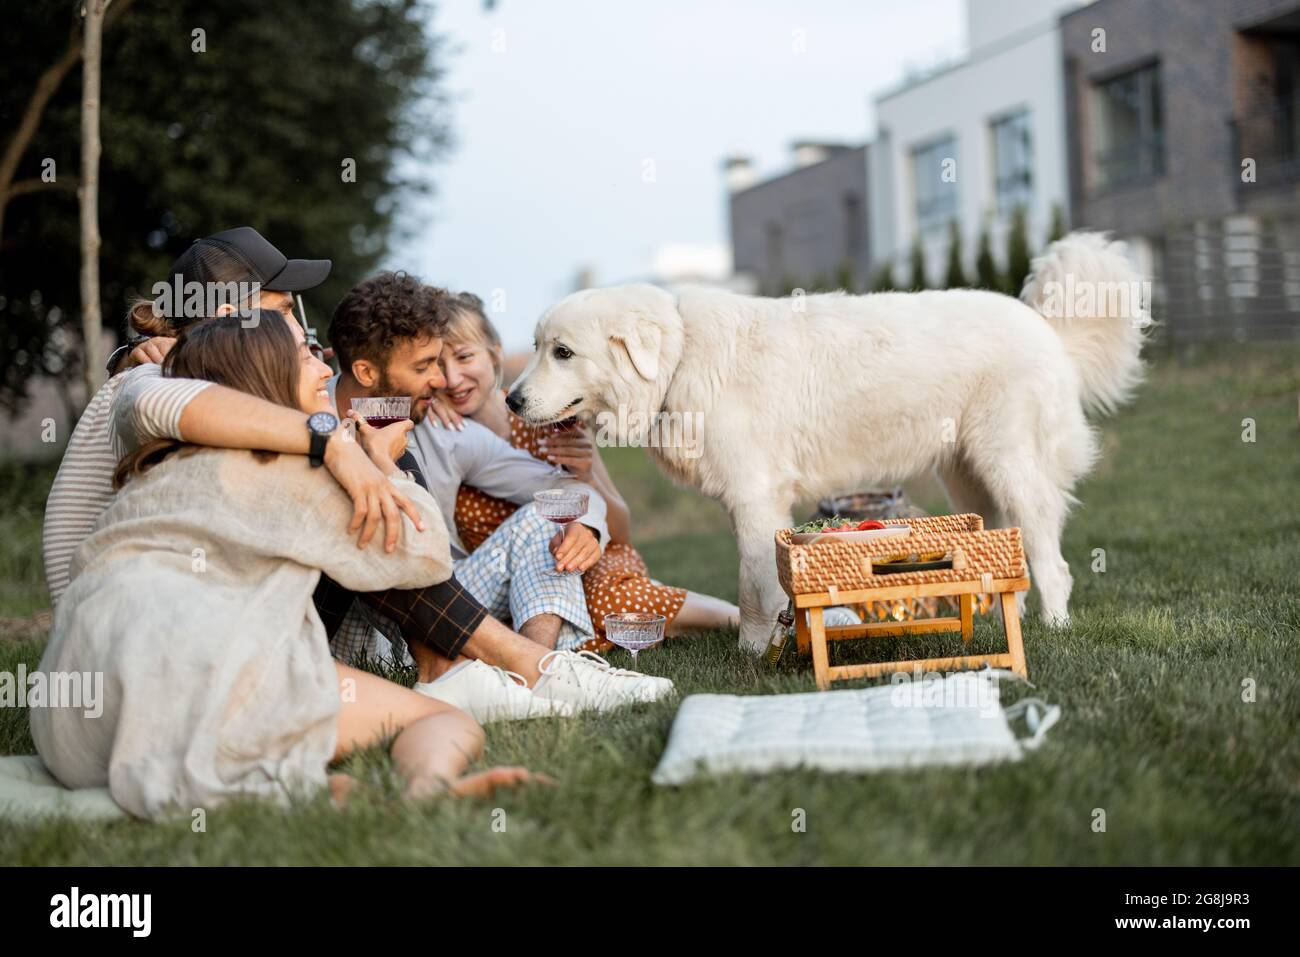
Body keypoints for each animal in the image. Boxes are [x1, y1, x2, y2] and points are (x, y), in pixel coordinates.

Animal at [506, 231, 1149, 650]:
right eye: (537, 347)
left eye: (563, 352)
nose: (510, 400)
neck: (680, 357)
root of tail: (1045, 328)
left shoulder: (755, 500)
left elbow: (756, 589)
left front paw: (753, 657)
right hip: (968, 479)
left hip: (1009, 464)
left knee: (1050, 560)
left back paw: (1054, 629)